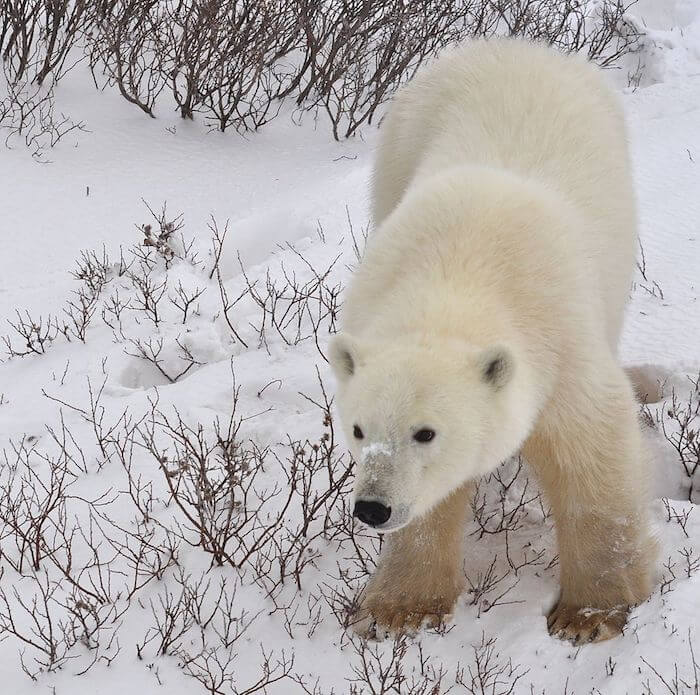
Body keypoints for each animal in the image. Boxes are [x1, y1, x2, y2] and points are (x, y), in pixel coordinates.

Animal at [328, 39, 656, 648]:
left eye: (426, 432)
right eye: (358, 430)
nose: (373, 508)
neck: (457, 279)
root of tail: (509, 44)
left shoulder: (561, 344)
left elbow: (590, 455)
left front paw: (589, 616)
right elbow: (434, 501)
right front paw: (398, 609)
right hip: (396, 148)